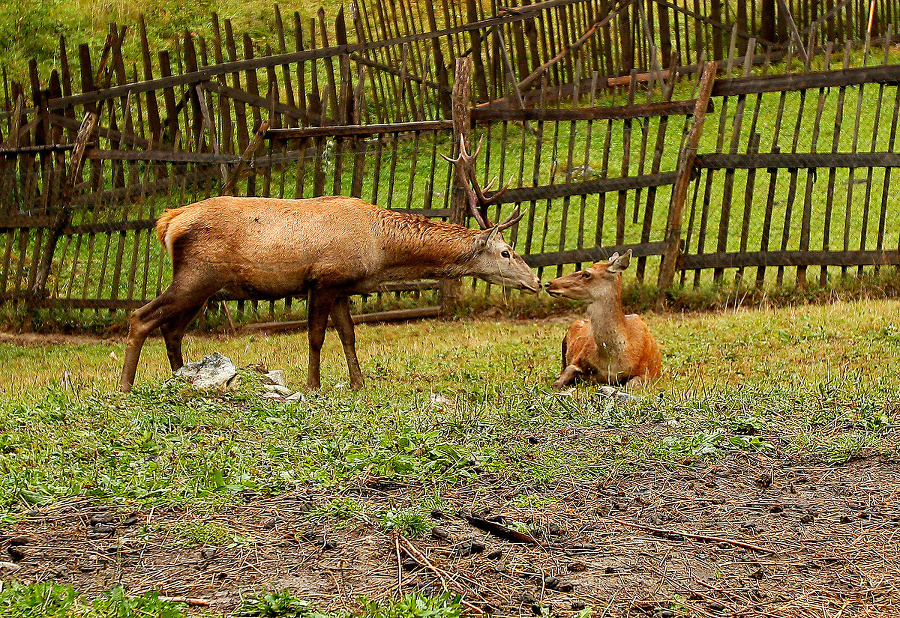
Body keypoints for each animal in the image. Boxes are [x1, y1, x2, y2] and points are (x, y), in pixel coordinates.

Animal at [119, 138, 540, 392]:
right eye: (507, 252)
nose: (537, 283)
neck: (379, 249)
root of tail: (168, 220)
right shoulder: (323, 279)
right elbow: (316, 337)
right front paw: (313, 384)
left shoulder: (342, 287)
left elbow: (349, 335)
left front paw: (358, 382)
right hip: (197, 274)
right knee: (141, 316)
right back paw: (126, 386)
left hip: (205, 288)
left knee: (172, 329)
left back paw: (180, 377)